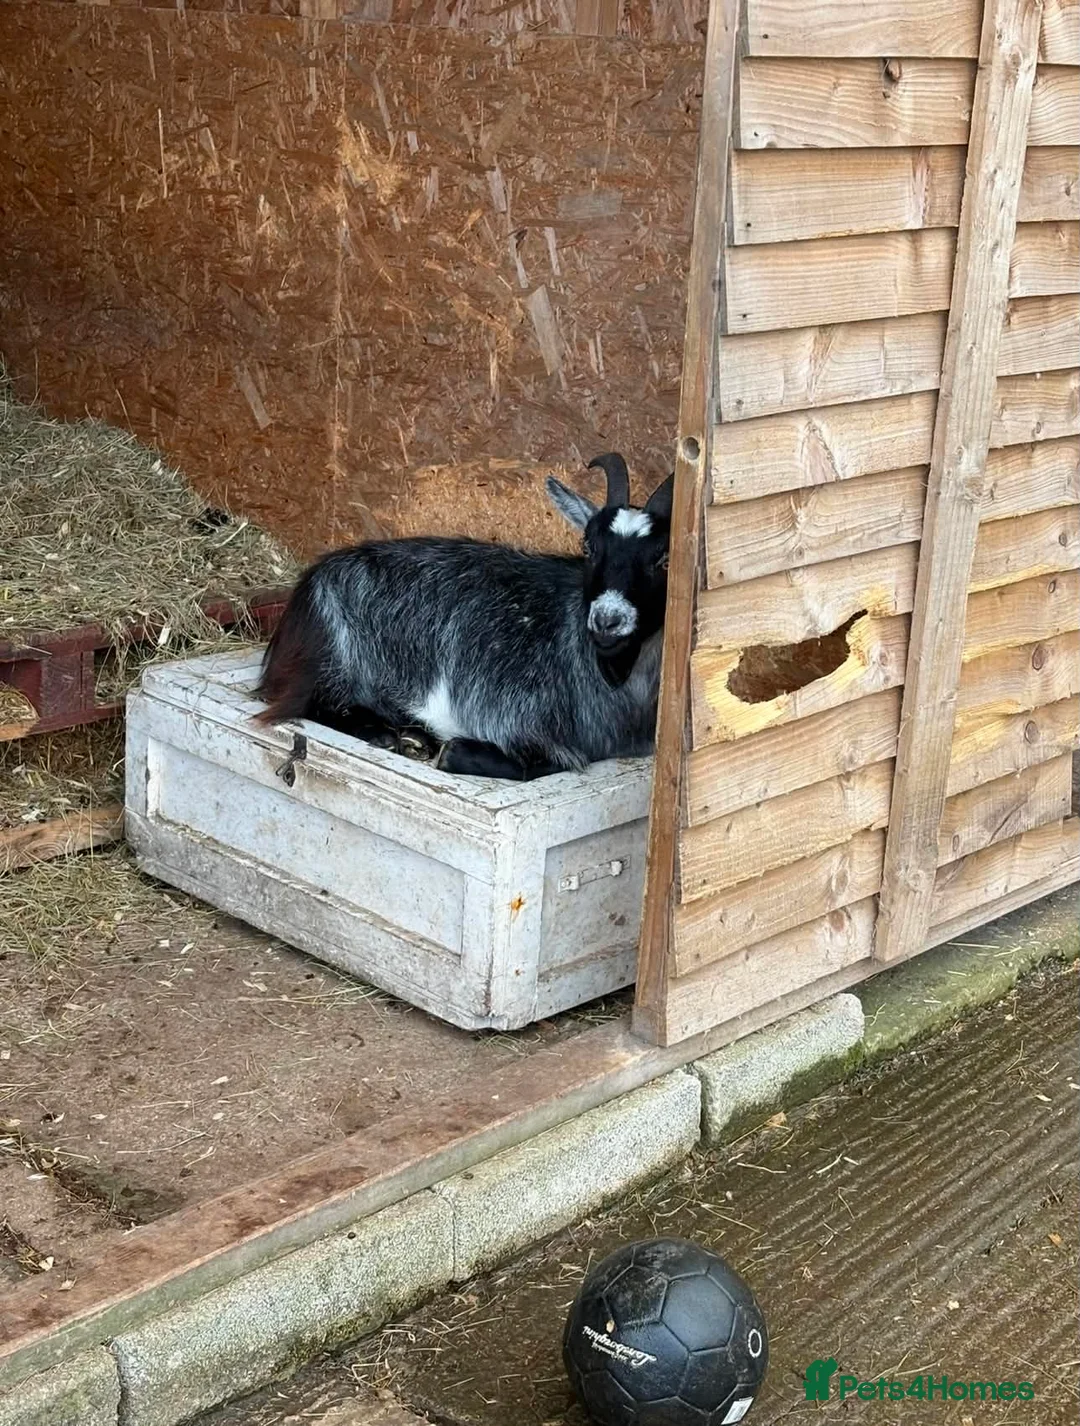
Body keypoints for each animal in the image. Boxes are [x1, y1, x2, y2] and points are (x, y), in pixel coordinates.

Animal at [254, 453, 673, 780]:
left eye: (664, 560)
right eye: (589, 546)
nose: (607, 620)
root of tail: (310, 583)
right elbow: (536, 761)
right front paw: (450, 750)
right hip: (330, 666)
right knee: (308, 703)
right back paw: (390, 736)